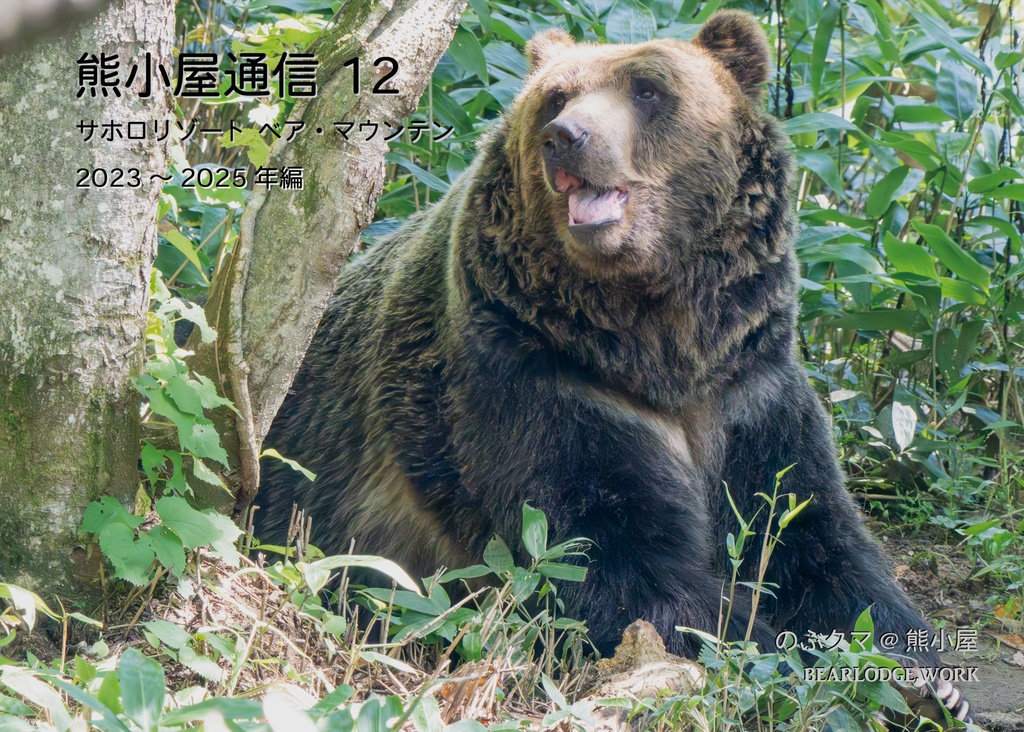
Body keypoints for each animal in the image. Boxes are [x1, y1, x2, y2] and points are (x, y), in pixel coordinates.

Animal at [257, 11, 970, 722]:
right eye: (555, 97)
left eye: (648, 89)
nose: (566, 138)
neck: (657, 344)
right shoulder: (535, 377)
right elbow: (611, 558)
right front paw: (774, 657)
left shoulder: (749, 389)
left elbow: (811, 533)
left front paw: (924, 678)